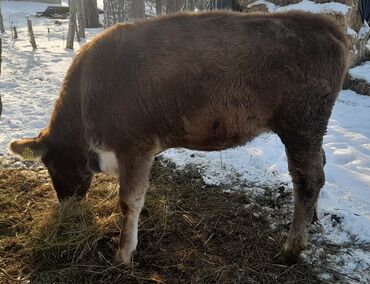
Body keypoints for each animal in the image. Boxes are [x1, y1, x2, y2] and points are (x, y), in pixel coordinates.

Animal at [9, 10, 350, 264]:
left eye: (52, 166)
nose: (67, 204)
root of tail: (324, 25)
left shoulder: (135, 146)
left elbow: (129, 201)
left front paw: (123, 255)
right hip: (311, 131)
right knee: (318, 167)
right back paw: (313, 220)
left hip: (301, 125)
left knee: (308, 178)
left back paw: (292, 248)